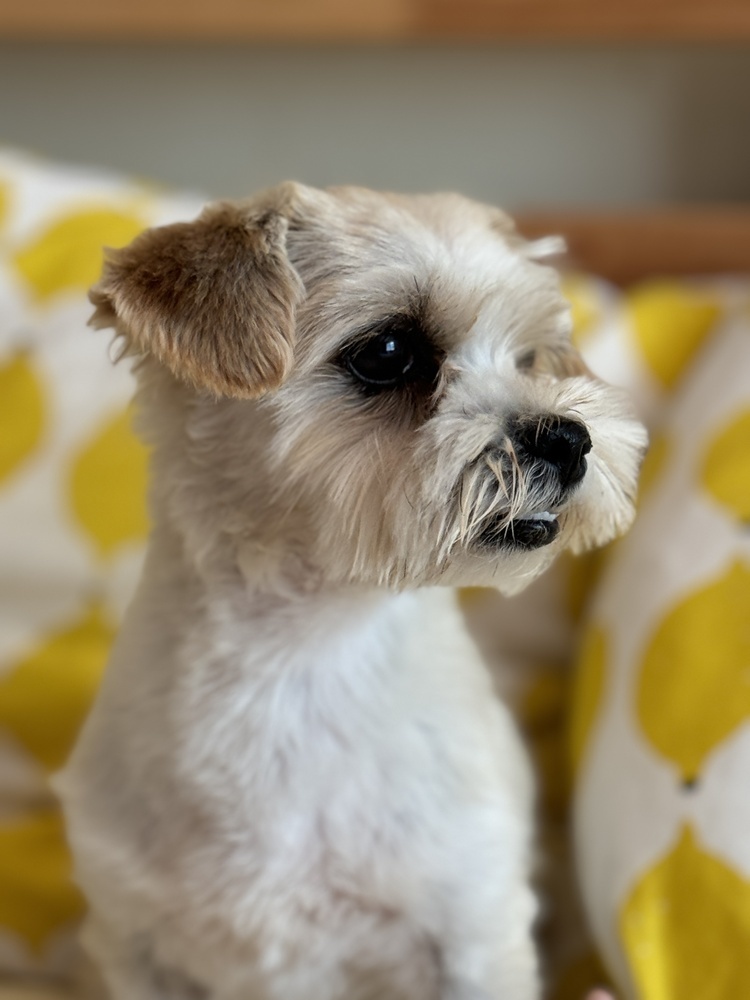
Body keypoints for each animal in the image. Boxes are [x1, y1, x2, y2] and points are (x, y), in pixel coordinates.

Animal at [57, 182, 648, 1000]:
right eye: (389, 353)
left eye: (529, 358)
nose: (567, 437)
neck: (304, 659)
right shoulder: (133, 945)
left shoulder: (473, 928)